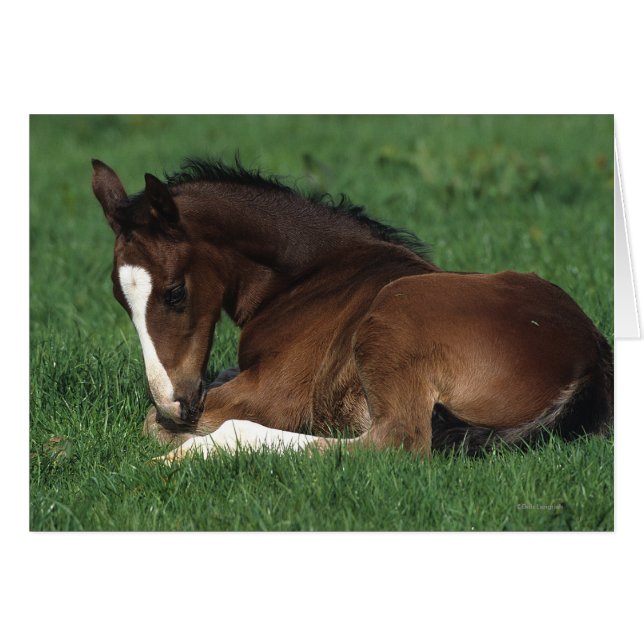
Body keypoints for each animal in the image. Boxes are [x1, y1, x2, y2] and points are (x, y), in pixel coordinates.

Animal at [91, 158, 613, 464]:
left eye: (175, 292)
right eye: (119, 298)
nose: (175, 404)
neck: (309, 277)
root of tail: (590, 357)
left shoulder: (278, 393)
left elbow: (151, 425)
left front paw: (177, 437)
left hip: (398, 311)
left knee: (394, 444)